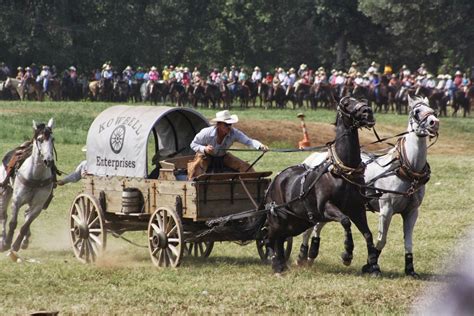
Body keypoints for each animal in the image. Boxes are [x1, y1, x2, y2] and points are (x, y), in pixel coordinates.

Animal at [0, 118, 55, 260]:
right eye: (40, 139)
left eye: (53, 139)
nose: (48, 161)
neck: (35, 176)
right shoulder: (16, 201)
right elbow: (13, 222)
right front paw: (7, 243)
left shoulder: (38, 206)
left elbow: (25, 225)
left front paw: (16, 245)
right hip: (5, 192)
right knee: (4, 216)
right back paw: (3, 240)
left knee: (25, 215)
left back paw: (24, 241)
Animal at [262, 96, 378, 274]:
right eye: (346, 103)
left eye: (361, 99)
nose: (367, 112)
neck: (342, 172)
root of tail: (276, 179)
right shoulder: (326, 207)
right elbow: (345, 221)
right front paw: (347, 254)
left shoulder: (357, 208)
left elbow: (367, 233)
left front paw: (372, 263)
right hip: (277, 218)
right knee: (270, 238)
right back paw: (276, 264)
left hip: (296, 222)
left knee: (280, 239)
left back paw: (282, 264)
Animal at [300, 96, 440, 276]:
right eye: (417, 111)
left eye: (432, 110)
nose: (434, 123)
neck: (406, 170)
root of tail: (314, 158)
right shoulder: (386, 209)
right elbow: (381, 240)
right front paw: (371, 264)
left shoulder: (412, 212)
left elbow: (408, 242)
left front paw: (409, 269)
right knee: (309, 229)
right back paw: (303, 255)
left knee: (318, 226)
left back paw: (312, 254)